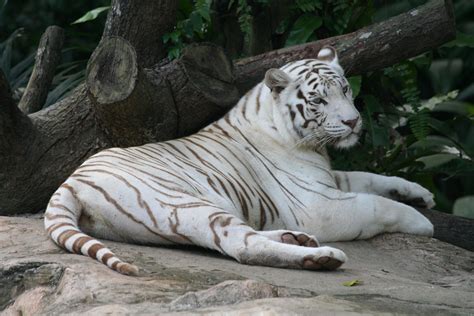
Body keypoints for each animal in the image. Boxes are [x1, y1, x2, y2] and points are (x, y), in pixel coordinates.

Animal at [44, 45, 434, 276]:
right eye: (319, 101)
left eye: (345, 89)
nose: (353, 121)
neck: (311, 145)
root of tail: (69, 182)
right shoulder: (316, 204)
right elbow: (377, 205)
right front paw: (422, 222)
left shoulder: (329, 178)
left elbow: (371, 179)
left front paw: (420, 194)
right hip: (184, 204)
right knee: (241, 245)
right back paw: (320, 257)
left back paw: (297, 239)